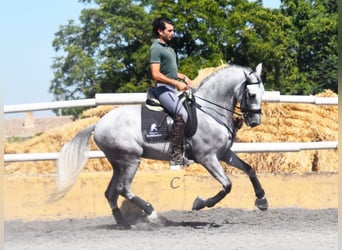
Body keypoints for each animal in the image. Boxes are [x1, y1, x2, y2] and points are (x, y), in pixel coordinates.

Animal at [50, 63, 268, 228]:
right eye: (251, 94)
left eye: (263, 92)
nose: (255, 121)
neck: (209, 111)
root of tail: (98, 124)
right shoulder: (207, 158)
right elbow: (227, 185)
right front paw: (200, 203)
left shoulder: (224, 154)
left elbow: (249, 169)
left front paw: (261, 200)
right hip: (131, 160)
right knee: (123, 188)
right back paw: (153, 215)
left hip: (118, 163)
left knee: (111, 192)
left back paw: (123, 223)